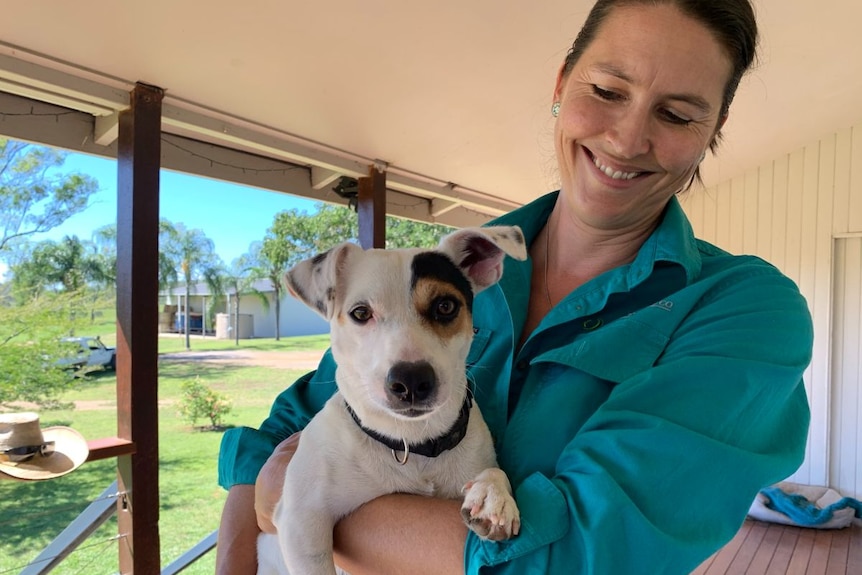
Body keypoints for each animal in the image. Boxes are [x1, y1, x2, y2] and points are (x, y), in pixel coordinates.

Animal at [256, 227, 528, 572]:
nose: (411, 380)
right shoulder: (301, 523)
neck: (410, 443)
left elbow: (494, 472)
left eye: (445, 306)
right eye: (360, 313)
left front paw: (494, 496)